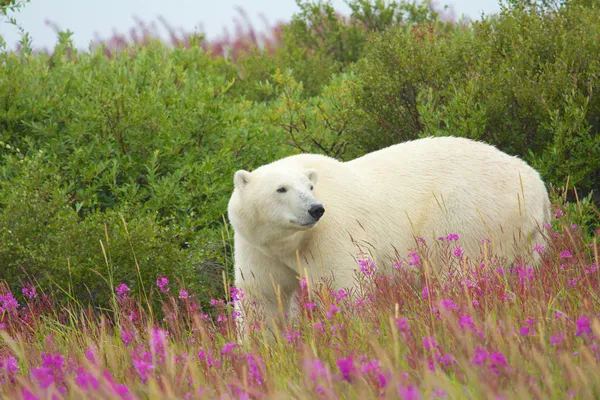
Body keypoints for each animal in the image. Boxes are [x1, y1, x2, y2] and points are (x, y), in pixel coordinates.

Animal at [227, 136, 552, 336]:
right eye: (281, 189)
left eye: (309, 187)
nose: (315, 209)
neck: (290, 241)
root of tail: (537, 183)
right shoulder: (257, 246)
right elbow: (262, 297)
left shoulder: (333, 233)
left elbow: (345, 285)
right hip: (526, 232)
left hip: (470, 213)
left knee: (460, 268)